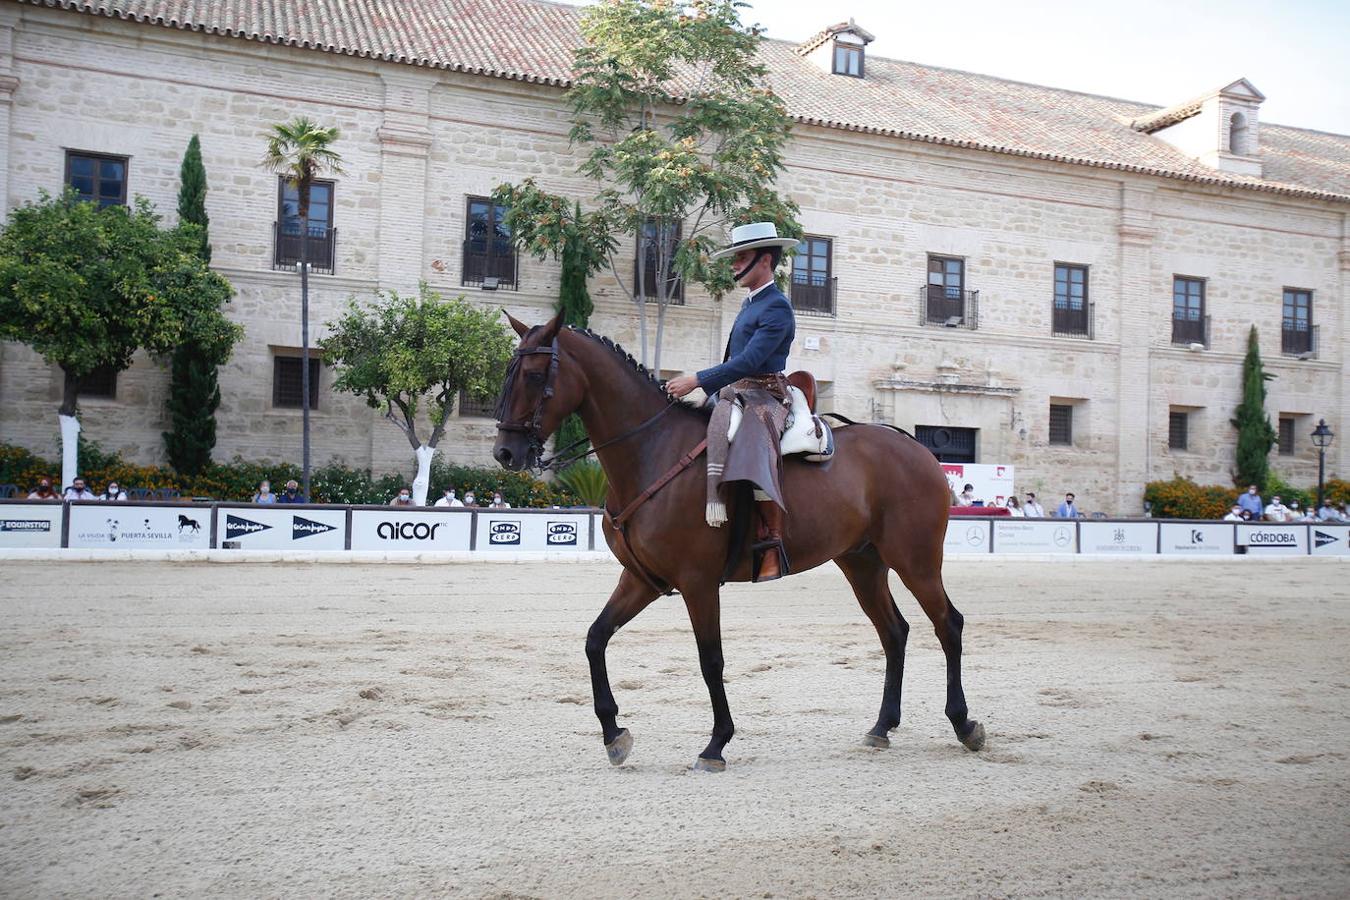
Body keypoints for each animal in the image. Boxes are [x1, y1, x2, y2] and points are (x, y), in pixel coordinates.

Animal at [496, 313, 982, 771]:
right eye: (507, 370)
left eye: (535, 376)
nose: (505, 452)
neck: (653, 451)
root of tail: (915, 446)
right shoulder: (641, 579)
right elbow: (596, 639)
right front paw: (614, 733)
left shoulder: (697, 582)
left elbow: (711, 660)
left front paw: (716, 743)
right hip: (862, 564)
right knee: (893, 632)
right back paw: (882, 726)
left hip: (915, 560)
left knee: (948, 624)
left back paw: (963, 722)